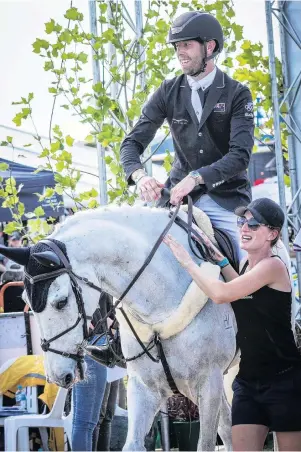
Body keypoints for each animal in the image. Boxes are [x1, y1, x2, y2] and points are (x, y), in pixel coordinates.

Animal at [0, 206, 237, 452]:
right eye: (25, 299)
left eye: (61, 302)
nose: (57, 376)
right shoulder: (145, 387)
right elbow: (132, 444)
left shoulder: (208, 382)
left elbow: (206, 442)